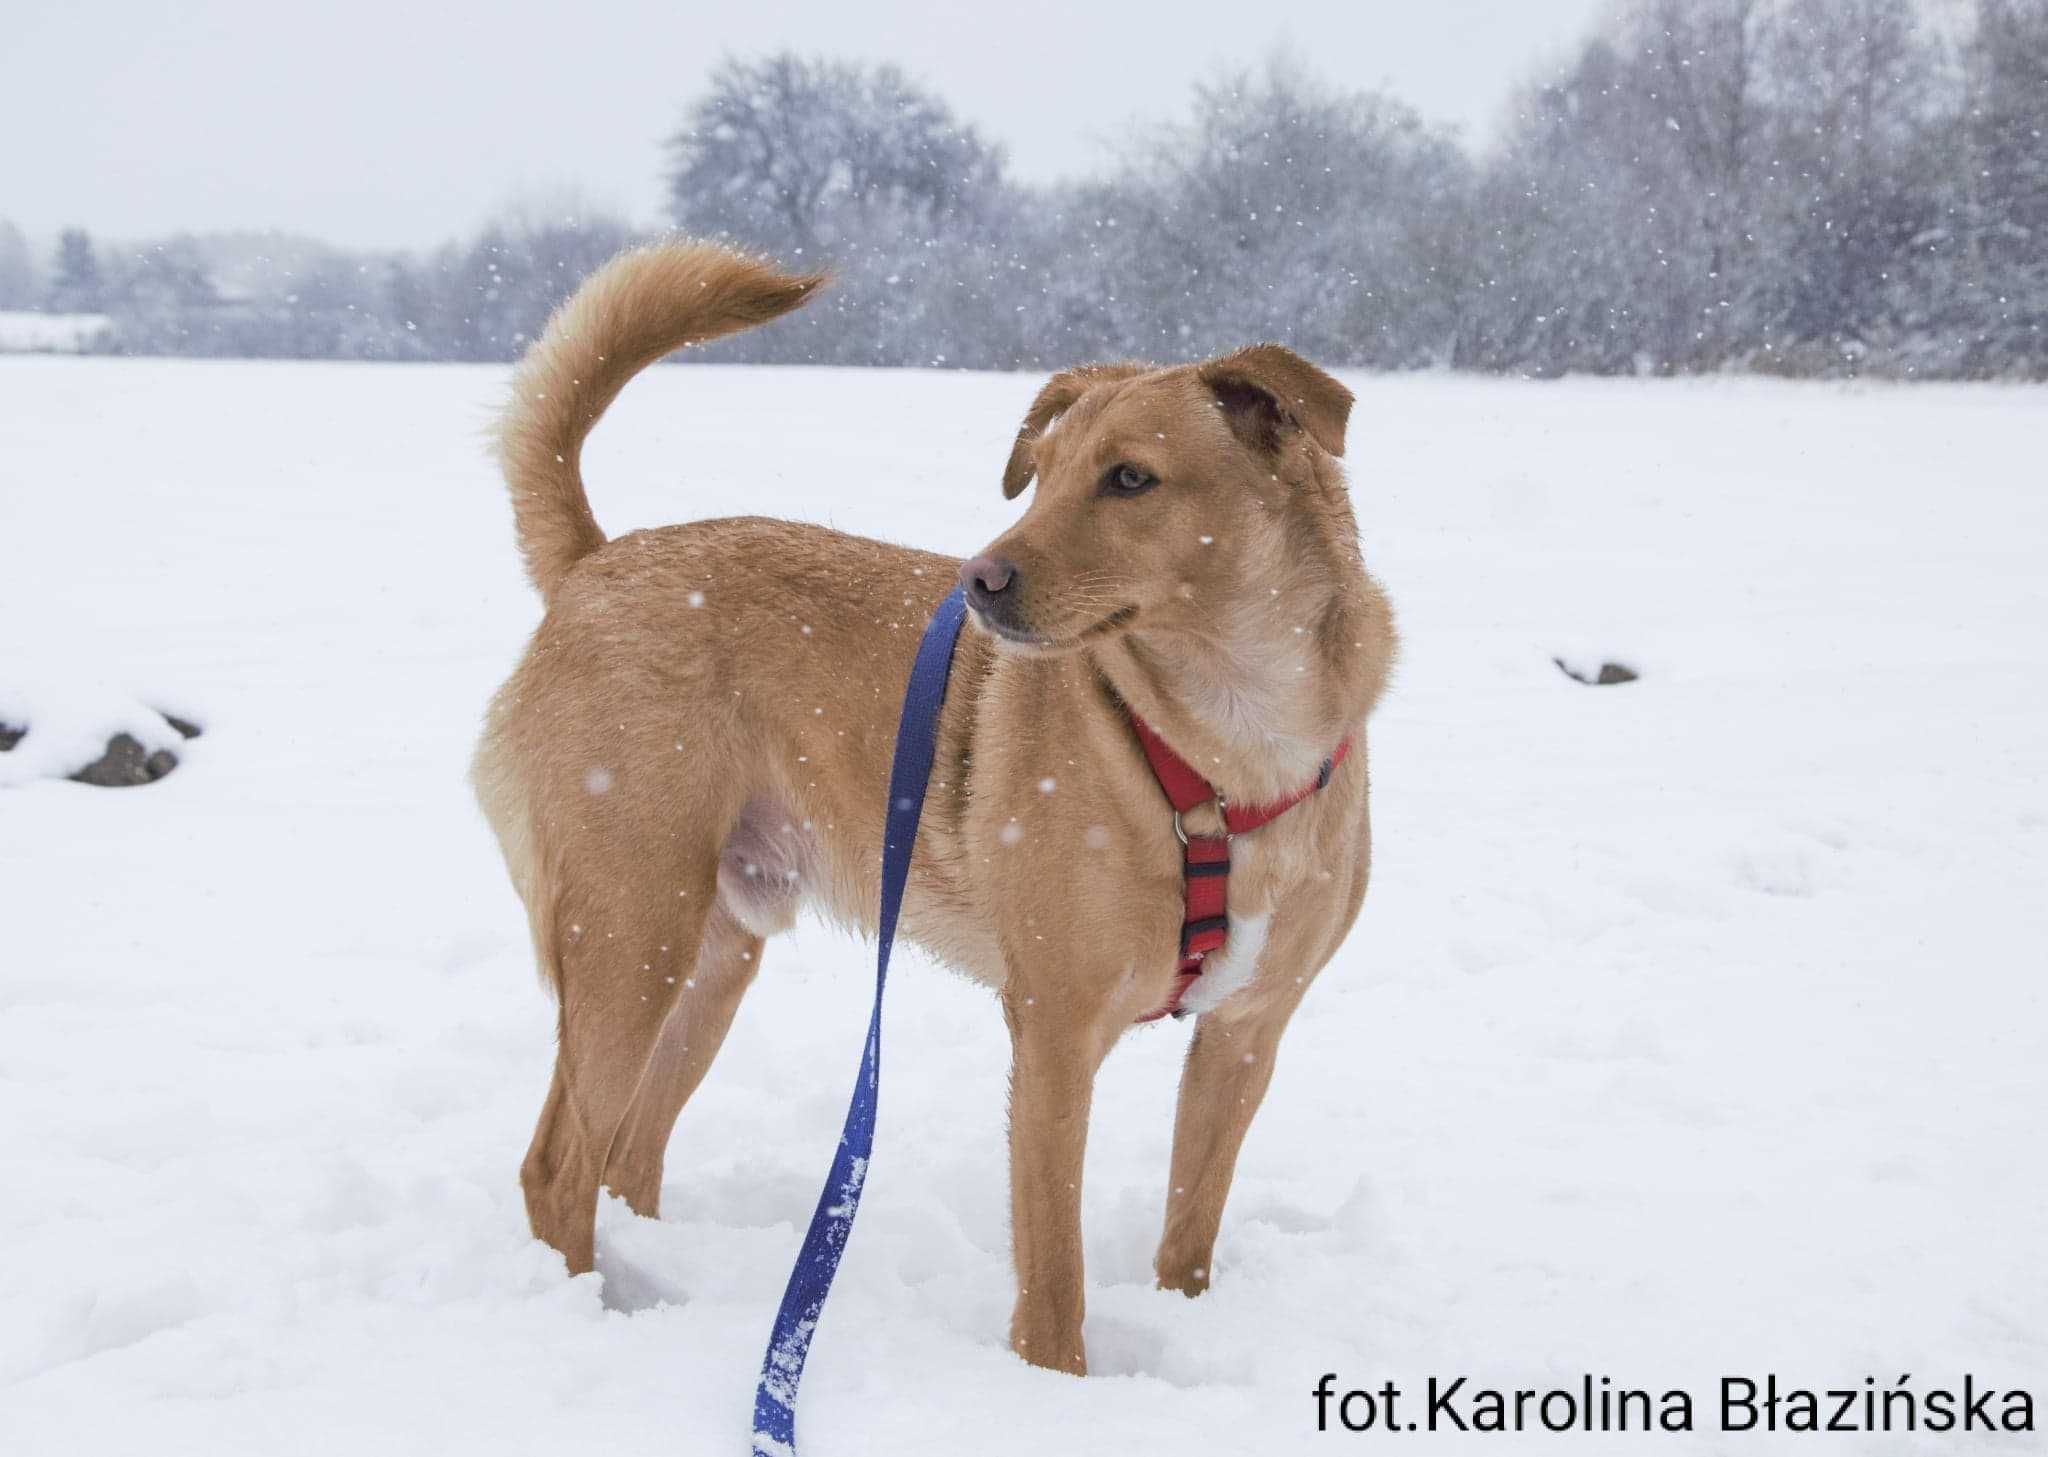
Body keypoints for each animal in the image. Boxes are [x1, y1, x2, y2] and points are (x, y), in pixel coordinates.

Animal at [468, 241, 1392, 1377]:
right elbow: (1053, 1275)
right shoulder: (1052, 1032)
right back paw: (584, 1319)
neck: (1232, 738)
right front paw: (1055, 1388)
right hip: (630, 934)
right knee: (557, 1165)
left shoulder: (1245, 1034)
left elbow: (1189, 1233)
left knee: (624, 1153)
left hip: (711, 954)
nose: (981, 580)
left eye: (1130, 477)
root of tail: (598, 558)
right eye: (1040, 472)